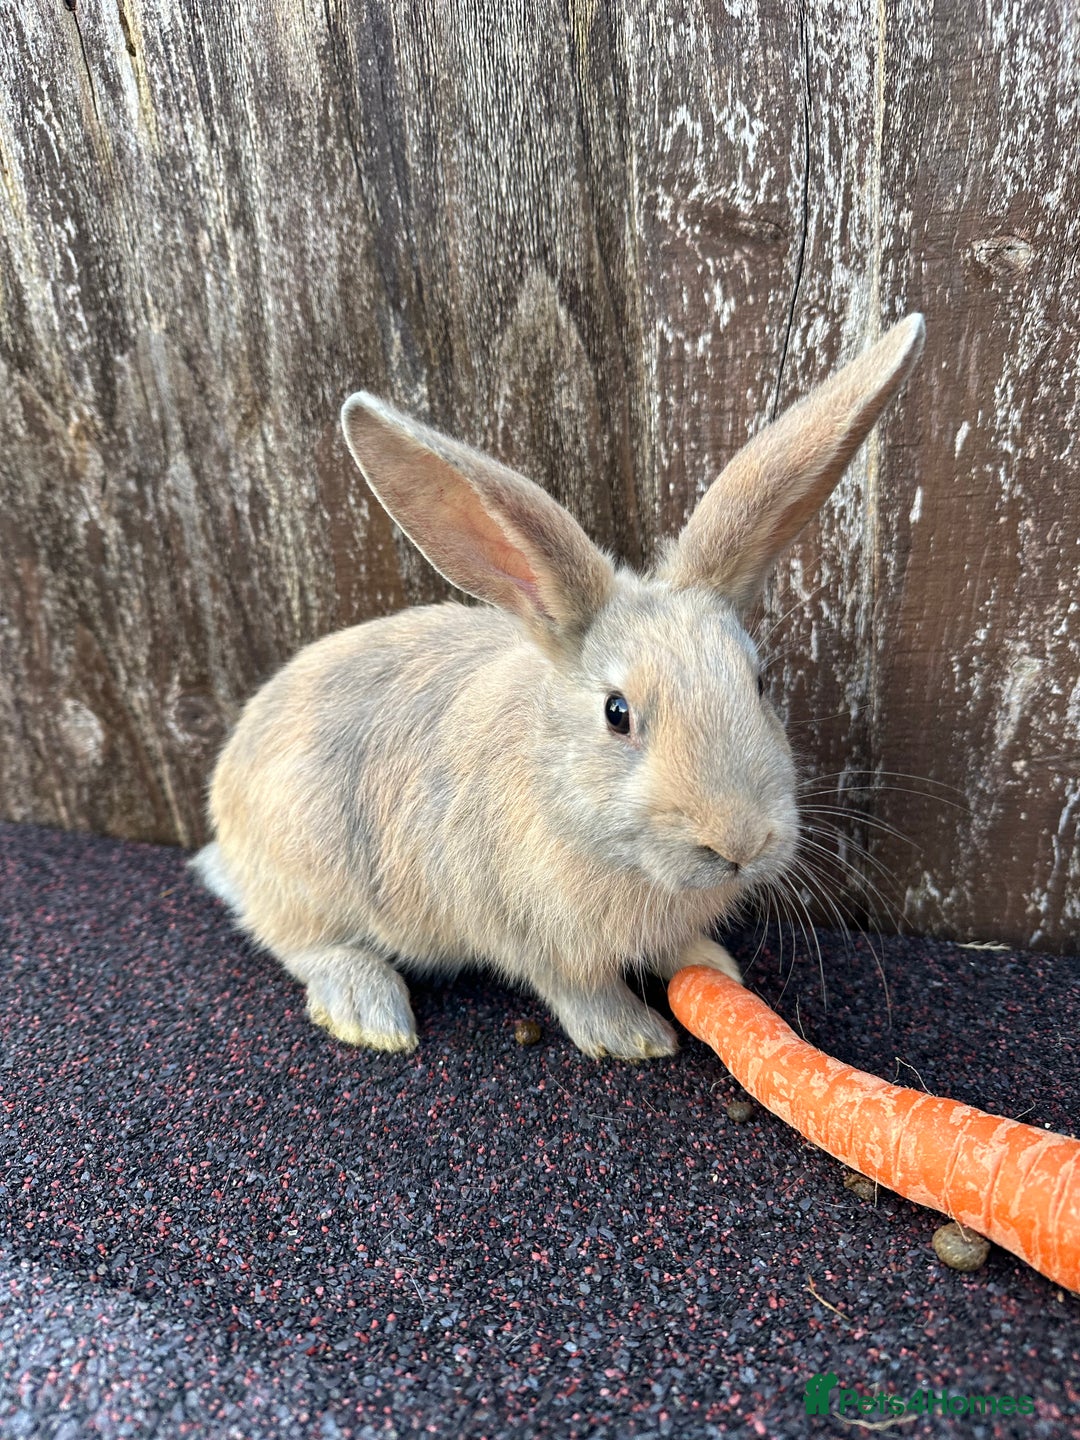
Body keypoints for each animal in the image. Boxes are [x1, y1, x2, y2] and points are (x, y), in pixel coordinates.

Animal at [193, 313, 924, 1059]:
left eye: (760, 682)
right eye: (616, 712)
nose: (740, 844)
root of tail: (227, 817)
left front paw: (715, 966)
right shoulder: (531, 935)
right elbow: (579, 990)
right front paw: (635, 1037)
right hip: (306, 877)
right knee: (303, 944)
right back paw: (370, 1012)